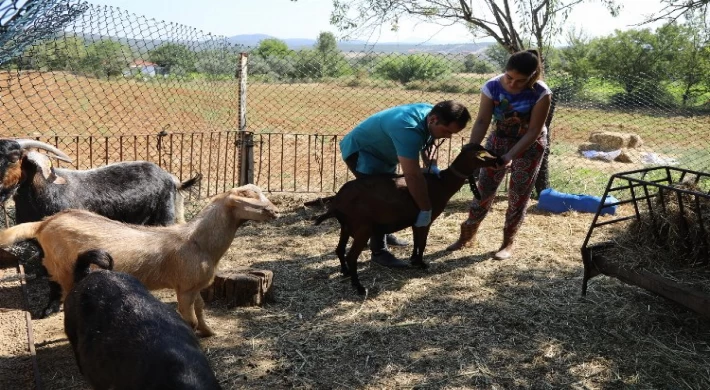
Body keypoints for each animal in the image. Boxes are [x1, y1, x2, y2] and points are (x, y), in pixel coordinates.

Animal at [314, 144, 498, 296]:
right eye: (484, 155)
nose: (500, 160)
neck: (441, 184)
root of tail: (337, 202)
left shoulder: (417, 221)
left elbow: (417, 242)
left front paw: (414, 260)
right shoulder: (426, 219)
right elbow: (422, 243)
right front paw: (422, 264)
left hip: (346, 226)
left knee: (339, 249)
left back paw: (345, 272)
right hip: (362, 229)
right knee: (351, 257)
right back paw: (359, 287)